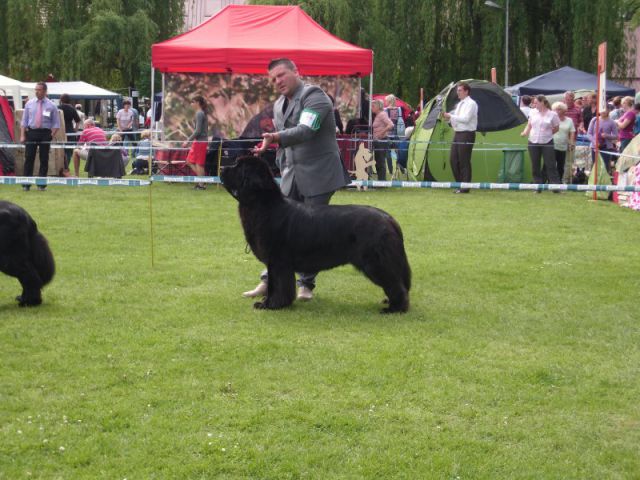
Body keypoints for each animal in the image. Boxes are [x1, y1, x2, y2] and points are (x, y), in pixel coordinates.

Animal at [220, 158, 410, 314]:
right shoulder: (276, 262)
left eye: (238, 167)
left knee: (395, 284)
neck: (263, 205)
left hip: (376, 262)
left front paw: (270, 305)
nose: (221, 168)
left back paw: (395, 308)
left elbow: (278, 285)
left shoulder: (278, 261)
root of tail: (389, 219)